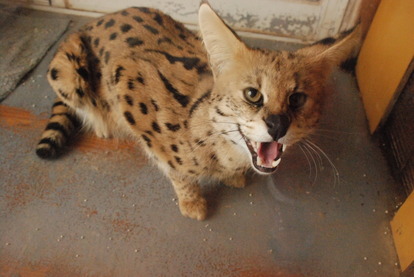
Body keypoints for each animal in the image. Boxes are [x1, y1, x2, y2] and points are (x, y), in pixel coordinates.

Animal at [34, 3, 360, 219]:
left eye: (297, 99)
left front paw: (233, 178)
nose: (278, 125)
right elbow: (175, 170)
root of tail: (95, 20)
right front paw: (192, 203)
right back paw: (102, 122)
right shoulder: (125, 77)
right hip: (66, 73)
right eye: (252, 94)